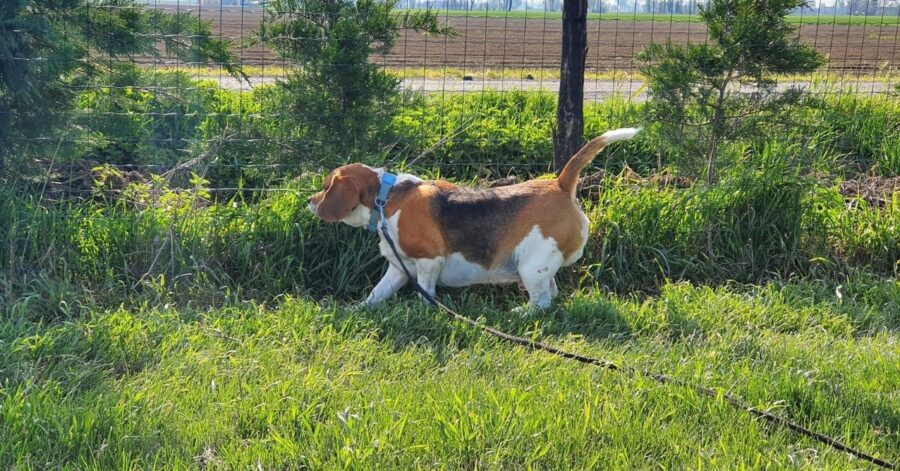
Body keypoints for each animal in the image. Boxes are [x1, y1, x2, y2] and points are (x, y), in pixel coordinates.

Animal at [310, 128, 640, 310]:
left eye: (326, 187)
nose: (310, 201)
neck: (387, 196)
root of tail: (559, 184)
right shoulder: (398, 269)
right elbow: (376, 294)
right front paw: (357, 309)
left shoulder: (429, 261)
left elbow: (426, 292)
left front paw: (425, 311)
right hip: (540, 267)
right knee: (552, 294)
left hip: (530, 266)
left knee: (543, 303)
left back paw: (523, 313)